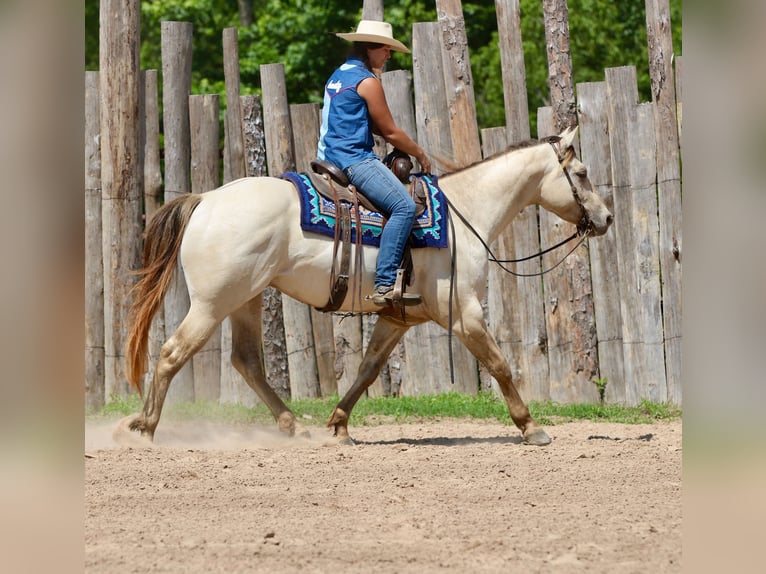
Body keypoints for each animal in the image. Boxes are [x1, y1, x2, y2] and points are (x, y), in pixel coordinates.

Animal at [121, 126, 612, 446]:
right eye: (582, 172)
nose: (606, 217)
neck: (464, 213)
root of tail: (205, 199)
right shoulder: (464, 312)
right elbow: (500, 365)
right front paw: (532, 427)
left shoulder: (397, 318)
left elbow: (368, 369)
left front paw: (339, 425)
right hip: (212, 303)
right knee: (172, 354)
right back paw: (144, 428)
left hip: (247, 298)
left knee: (247, 362)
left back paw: (294, 426)